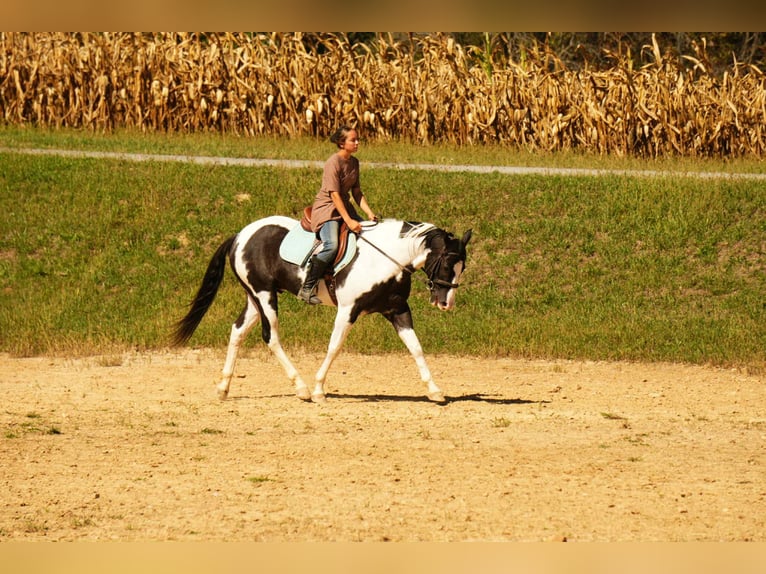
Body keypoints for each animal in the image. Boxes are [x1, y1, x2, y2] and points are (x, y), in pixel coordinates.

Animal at [172, 215, 472, 403]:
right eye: (448, 263)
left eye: (463, 266)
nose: (446, 303)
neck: (385, 260)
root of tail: (240, 235)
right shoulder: (348, 310)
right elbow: (334, 347)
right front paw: (318, 390)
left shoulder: (397, 310)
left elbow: (416, 348)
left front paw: (435, 391)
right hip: (264, 295)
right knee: (271, 337)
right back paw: (302, 388)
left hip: (255, 298)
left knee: (237, 332)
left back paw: (223, 388)